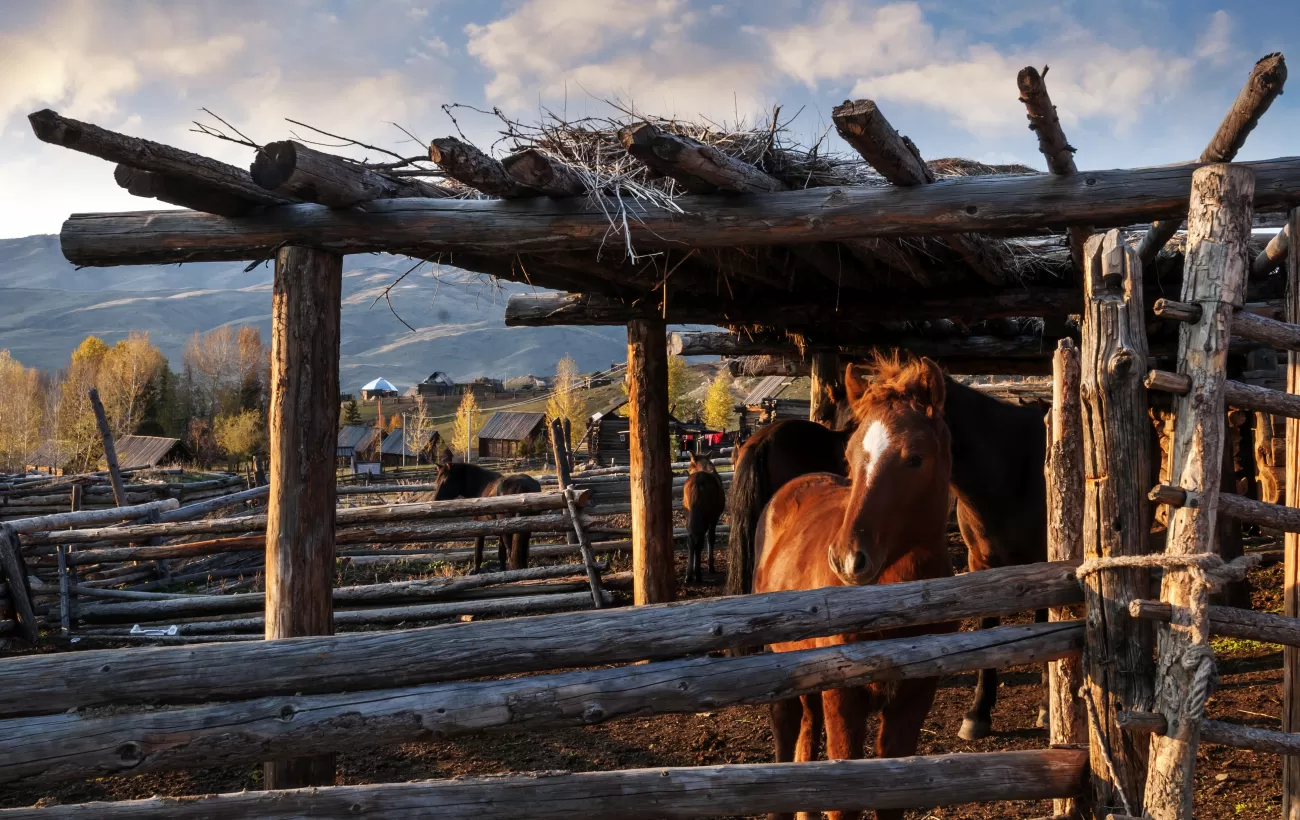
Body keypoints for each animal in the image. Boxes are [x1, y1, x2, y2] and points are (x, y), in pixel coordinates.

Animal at [686, 454, 728, 584]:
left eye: (689, 468)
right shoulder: (713, 519)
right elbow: (710, 539)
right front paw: (710, 566)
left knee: (692, 540)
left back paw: (689, 575)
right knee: (698, 540)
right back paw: (698, 574)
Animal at [754, 353, 956, 820]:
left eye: (915, 458)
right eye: (849, 456)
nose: (848, 559)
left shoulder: (915, 696)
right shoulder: (843, 697)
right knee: (787, 729)